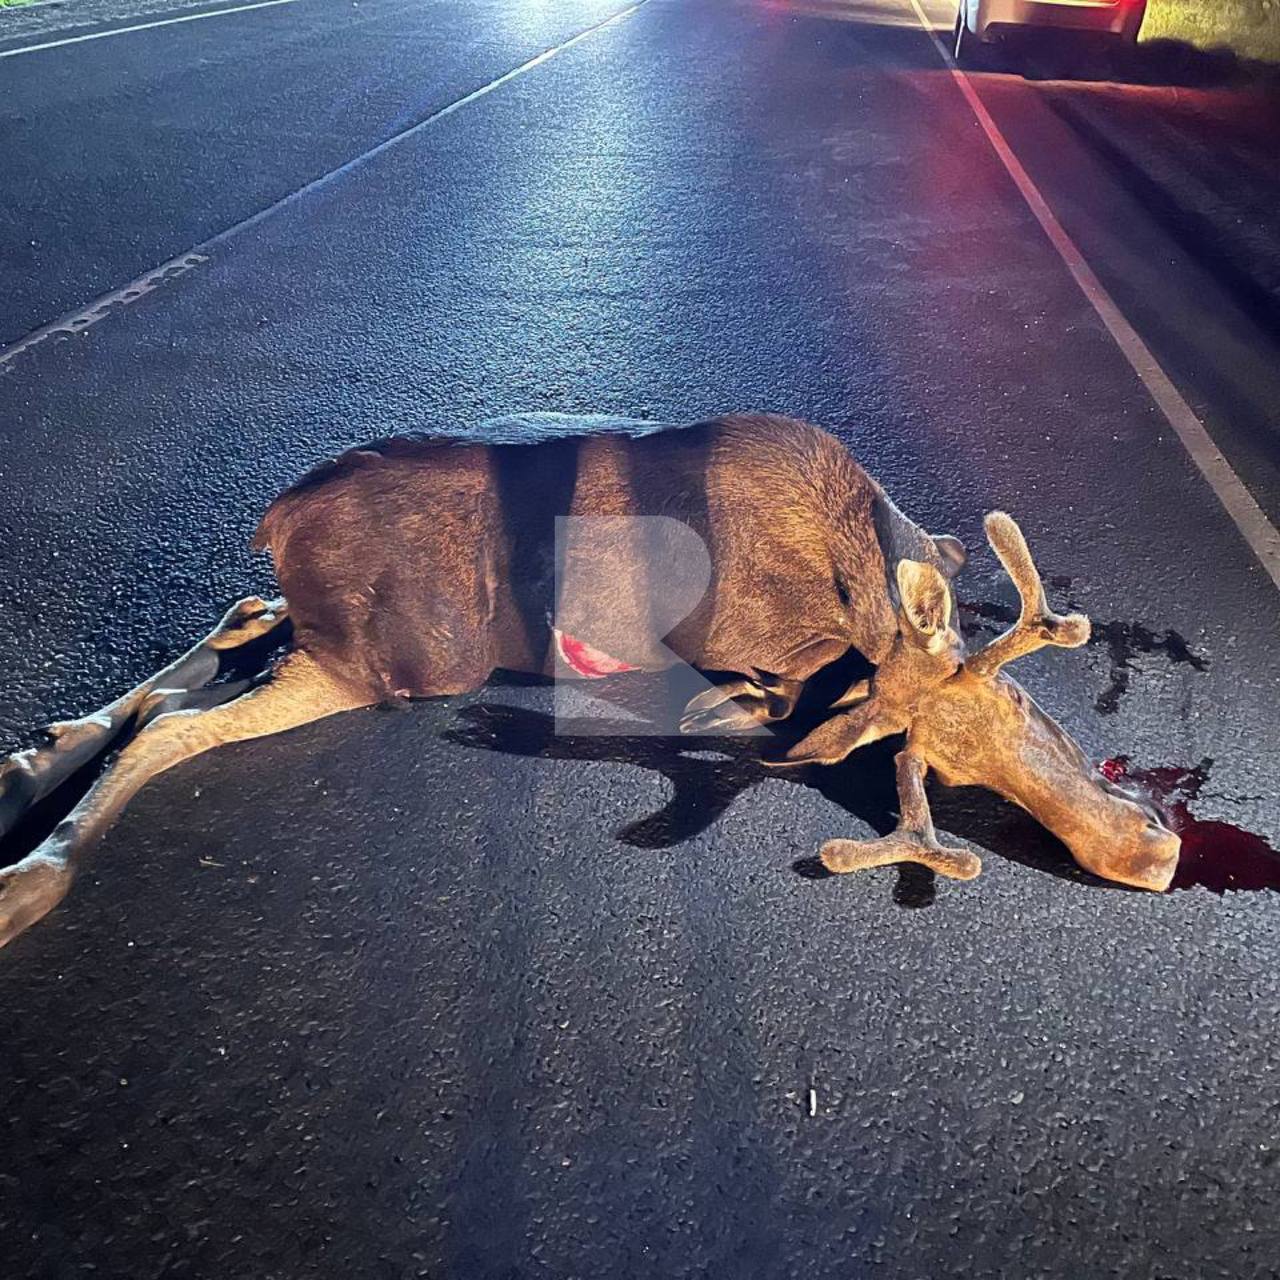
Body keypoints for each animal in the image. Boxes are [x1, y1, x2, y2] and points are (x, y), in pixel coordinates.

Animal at [0, 414, 1177, 947]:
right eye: (932, 774)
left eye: (1027, 709)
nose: (1152, 852)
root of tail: (273, 519)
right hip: (381, 661)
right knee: (172, 724)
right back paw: (34, 871)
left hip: (318, 634)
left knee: (212, 643)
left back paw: (32, 758)